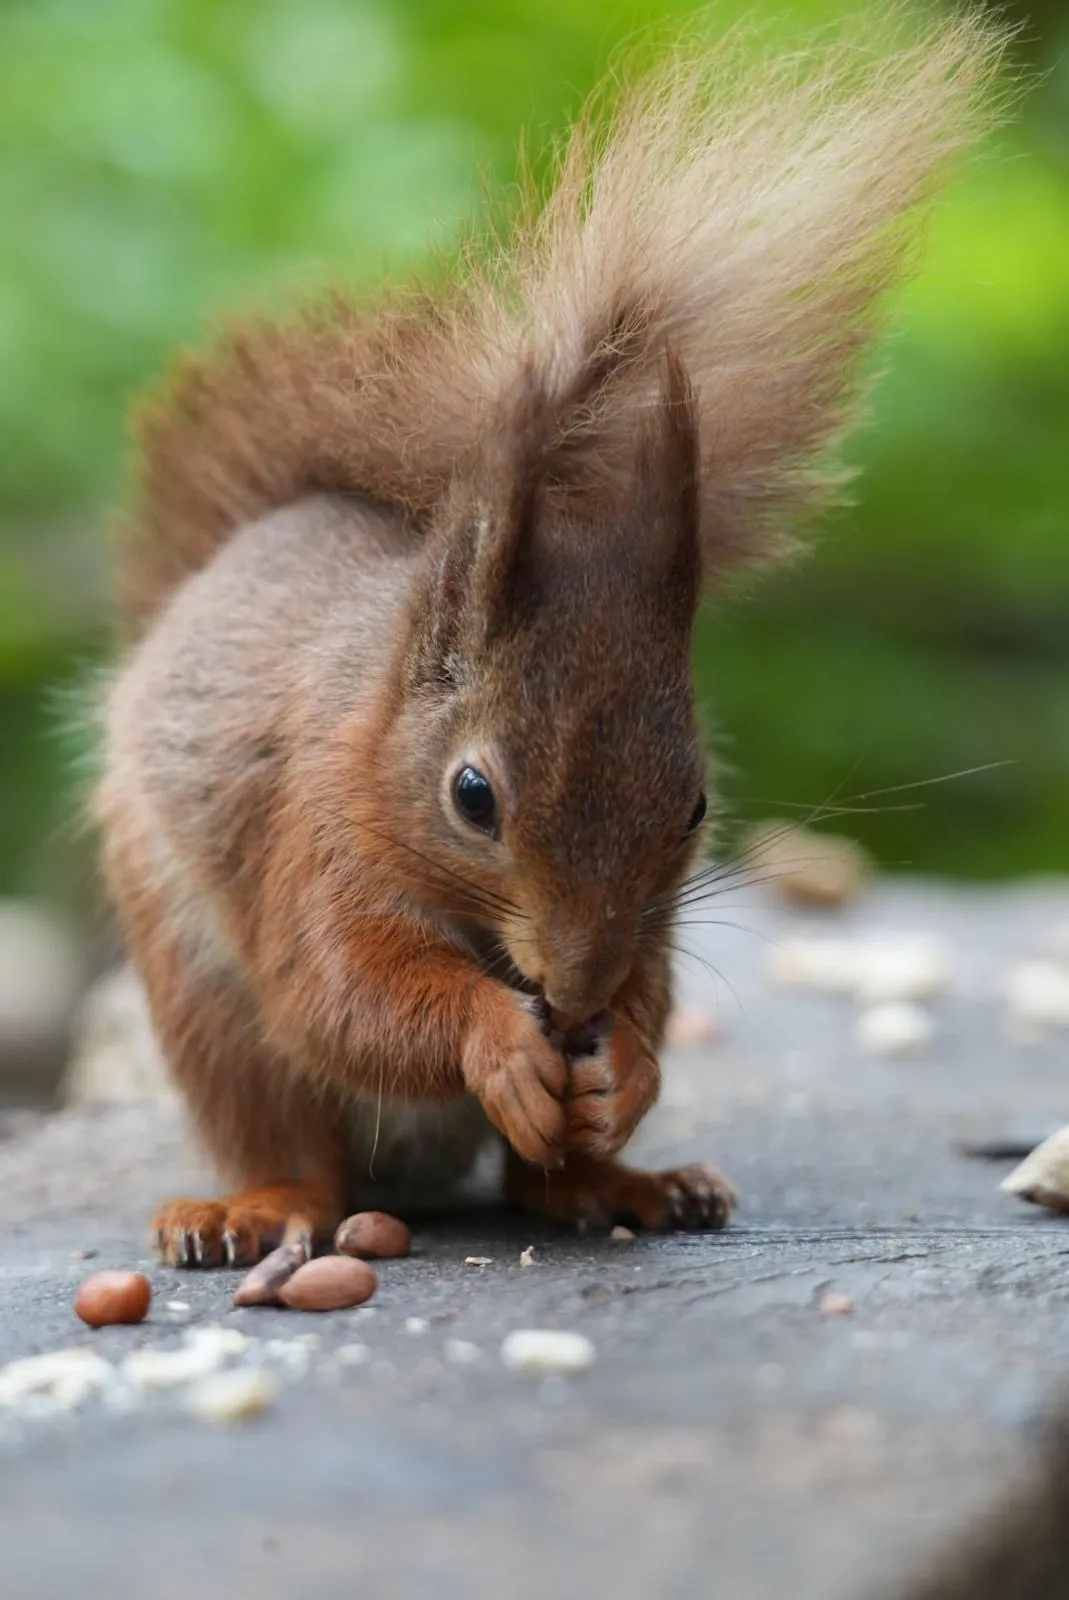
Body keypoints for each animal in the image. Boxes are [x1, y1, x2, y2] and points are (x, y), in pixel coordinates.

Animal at [93, 15, 1005, 1267]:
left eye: (696, 805)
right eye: (471, 797)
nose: (572, 999)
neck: (376, 730)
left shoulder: (651, 921)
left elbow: (649, 992)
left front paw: (626, 1064)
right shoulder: (313, 843)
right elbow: (340, 997)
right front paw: (495, 1038)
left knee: (536, 1187)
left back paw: (622, 1182)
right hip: (199, 993)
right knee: (283, 1131)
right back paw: (256, 1206)